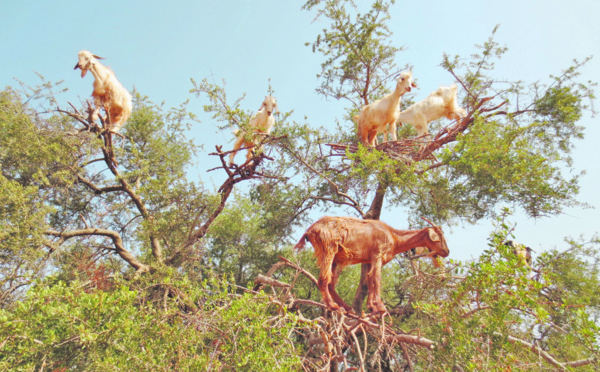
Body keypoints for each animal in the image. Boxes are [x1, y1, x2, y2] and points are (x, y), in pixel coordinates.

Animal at [296, 215, 450, 314]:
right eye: (440, 236)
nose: (447, 251)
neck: (393, 237)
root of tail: (310, 230)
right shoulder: (377, 255)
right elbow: (377, 279)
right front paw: (381, 307)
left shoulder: (369, 260)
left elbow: (368, 281)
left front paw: (371, 307)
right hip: (329, 249)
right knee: (323, 279)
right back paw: (334, 306)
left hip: (334, 258)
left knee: (331, 283)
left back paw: (347, 308)